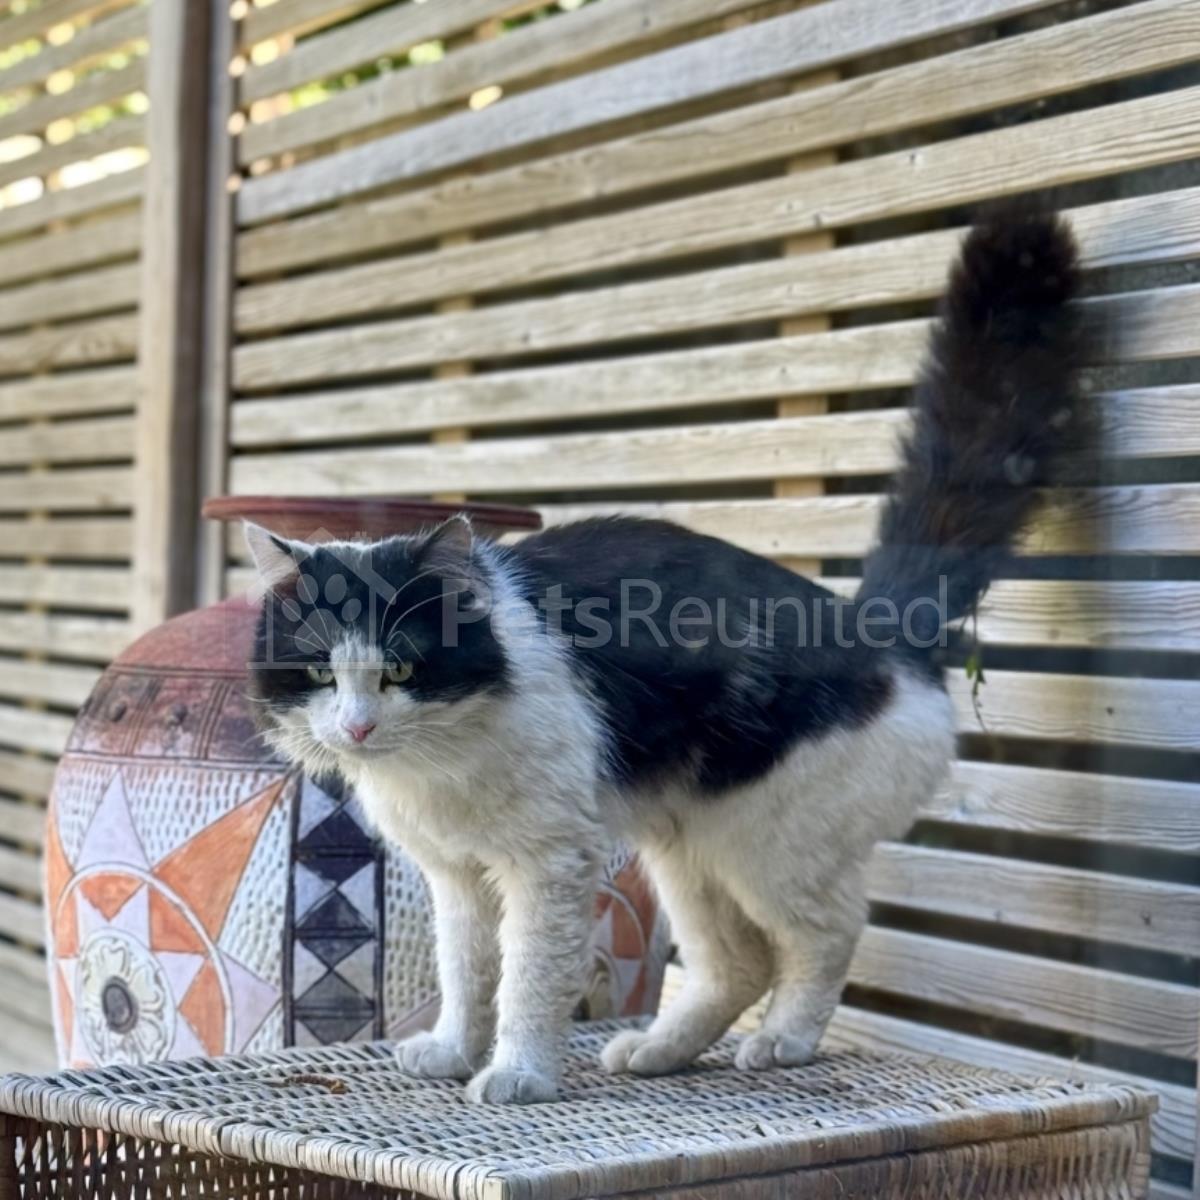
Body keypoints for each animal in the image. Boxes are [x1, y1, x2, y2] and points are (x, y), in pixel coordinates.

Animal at [246, 206, 1086, 1104]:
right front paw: (452, 1051)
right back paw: (660, 1049)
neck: (440, 758)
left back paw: (785, 1042)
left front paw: (518, 1073)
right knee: (739, 963)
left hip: (769, 849)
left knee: (827, 934)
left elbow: (528, 978)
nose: (357, 728)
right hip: (688, 853)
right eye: (321, 673)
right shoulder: (459, 876)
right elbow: (466, 972)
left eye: (401, 668)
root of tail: (880, 630)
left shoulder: (551, 863)